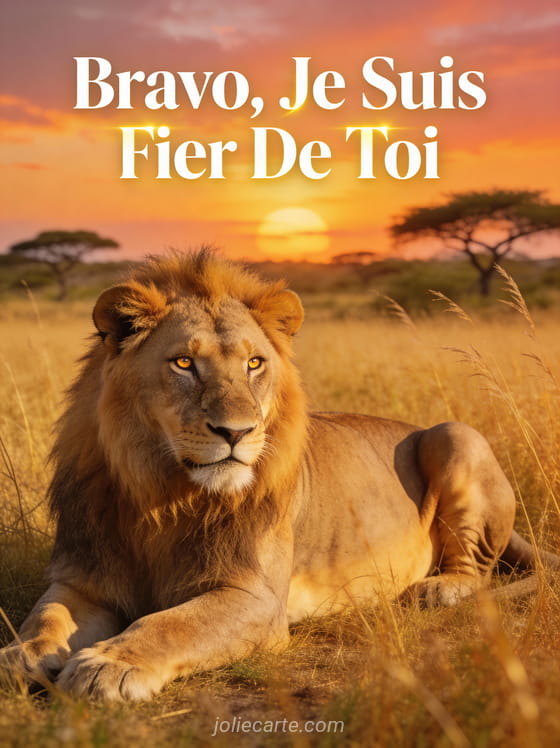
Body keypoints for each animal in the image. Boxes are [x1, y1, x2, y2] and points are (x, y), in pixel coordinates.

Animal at [0, 249, 557, 701]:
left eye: (254, 363)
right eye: (183, 363)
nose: (236, 432)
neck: (164, 494)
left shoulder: (257, 599)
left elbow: (169, 624)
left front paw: (108, 664)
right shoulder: (82, 579)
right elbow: (45, 616)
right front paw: (21, 655)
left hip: (453, 435)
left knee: (478, 568)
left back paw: (437, 589)